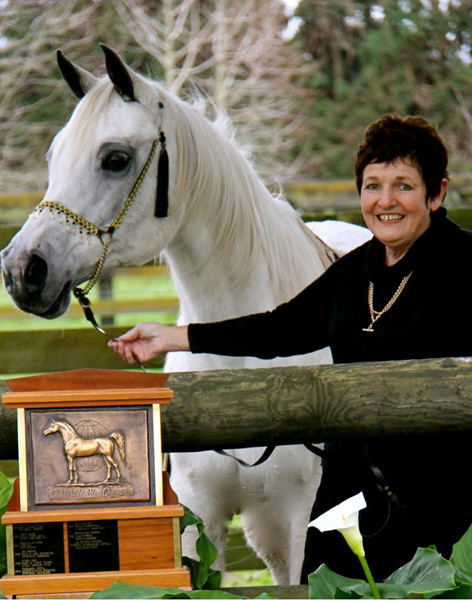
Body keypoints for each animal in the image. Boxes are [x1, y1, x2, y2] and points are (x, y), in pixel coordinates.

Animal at [0, 48, 370, 584]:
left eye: (115, 159)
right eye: (54, 157)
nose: (22, 270)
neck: (241, 377)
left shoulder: (292, 530)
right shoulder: (198, 518)